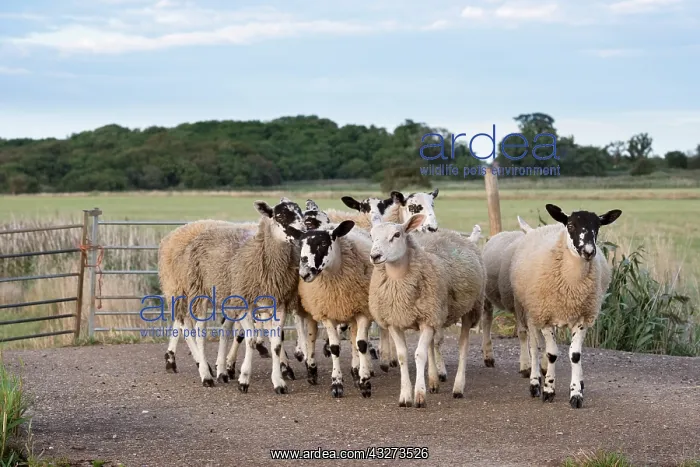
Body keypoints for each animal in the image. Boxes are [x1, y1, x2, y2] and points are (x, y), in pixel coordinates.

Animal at [181, 198, 306, 390]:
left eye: (300, 213)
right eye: (279, 216)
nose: (303, 233)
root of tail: (207, 230)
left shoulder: (279, 304)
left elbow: (276, 344)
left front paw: (279, 381)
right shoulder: (245, 303)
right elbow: (251, 340)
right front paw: (244, 379)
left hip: (228, 298)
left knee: (224, 331)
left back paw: (222, 372)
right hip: (199, 292)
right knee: (200, 333)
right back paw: (206, 375)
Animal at [287, 219, 375, 398]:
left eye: (322, 244)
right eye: (301, 244)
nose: (304, 274)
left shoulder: (362, 311)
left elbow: (361, 344)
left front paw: (364, 382)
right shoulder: (326, 313)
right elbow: (334, 347)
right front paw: (337, 384)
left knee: (353, 340)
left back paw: (355, 372)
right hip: (312, 309)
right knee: (311, 336)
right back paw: (311, 370)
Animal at [368, 213, 486, 407]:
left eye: (397, 235)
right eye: (371, 235)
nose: (375, 256)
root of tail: (461, 237)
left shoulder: (427, 319)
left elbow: (419, 354)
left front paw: (419, 395)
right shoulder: (396, 321)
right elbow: (402, 356)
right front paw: (405, 396)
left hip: (470, 309)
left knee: (463, 347)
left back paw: (458, 387)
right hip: (435, 314)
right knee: (432, 344)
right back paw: (433, 381)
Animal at [510, 203, 622, 408]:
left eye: (598, 227)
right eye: (570, 225)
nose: (589, 251)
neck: (572, 285)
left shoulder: (583, 317)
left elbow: (575, 355)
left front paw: (576, 393)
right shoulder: (545, 316)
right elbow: (551, 354)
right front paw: (548, 390)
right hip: (531, 312)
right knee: (535, 348)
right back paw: (535, 383)